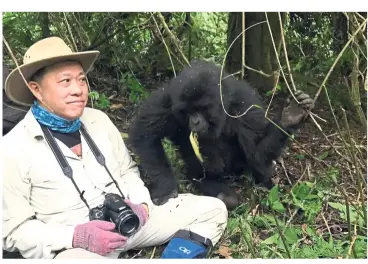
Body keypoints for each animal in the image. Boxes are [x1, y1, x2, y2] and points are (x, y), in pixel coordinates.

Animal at [129, 59, 314, 208]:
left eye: (202, 108)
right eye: (187, 111)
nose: (195, 121)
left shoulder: (245, 106)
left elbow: (256, 152)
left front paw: (289, 118)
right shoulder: (167, 100)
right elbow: (145, 134)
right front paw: (166, 188)